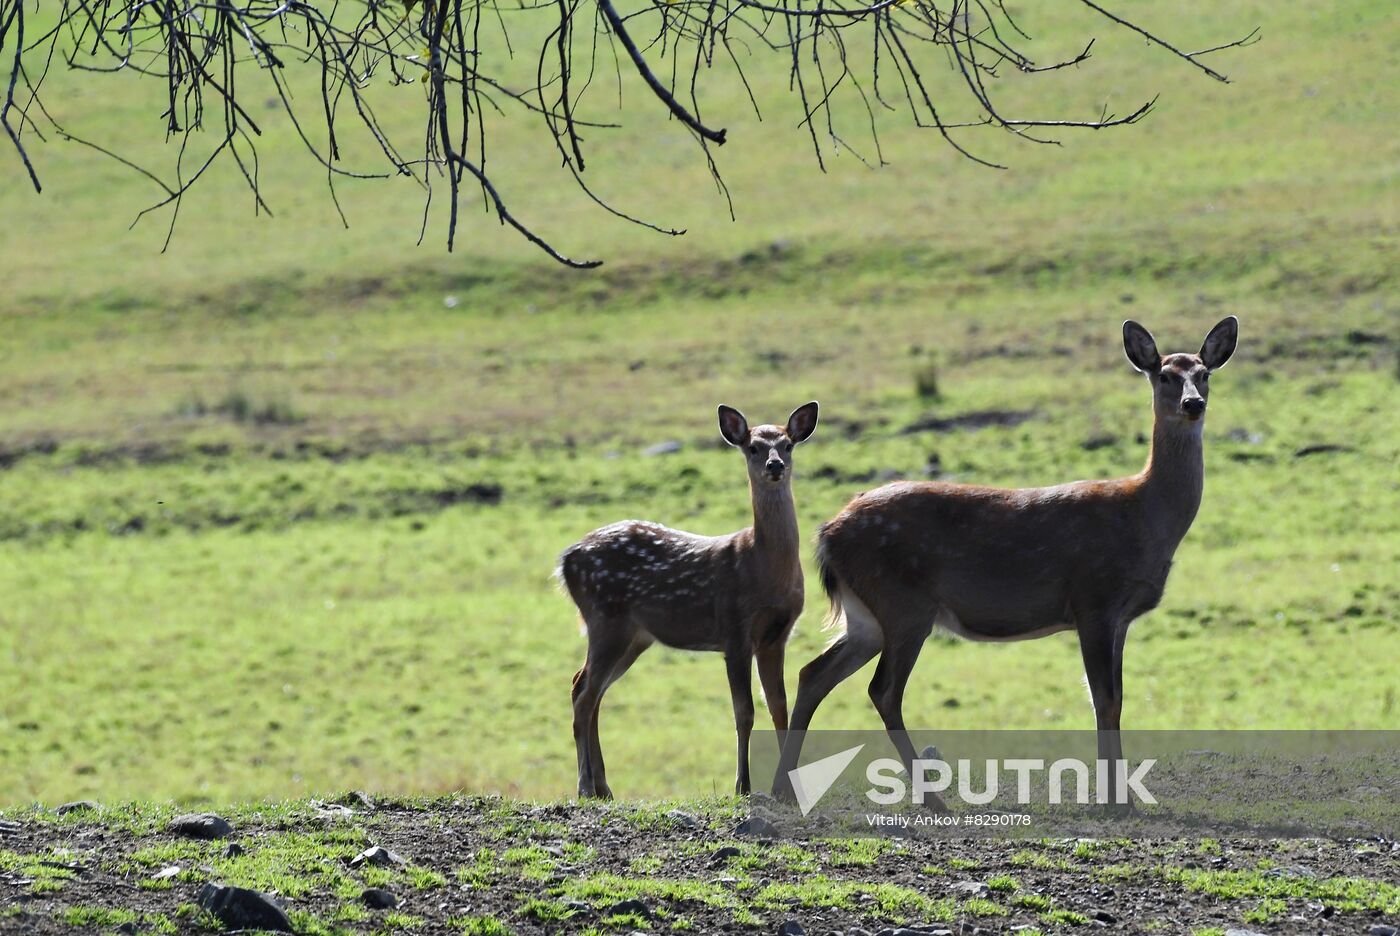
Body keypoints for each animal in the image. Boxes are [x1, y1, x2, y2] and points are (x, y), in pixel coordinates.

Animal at [557, 400, 817, 794]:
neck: (764, 566)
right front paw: (742, 785)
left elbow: (779, 706)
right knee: (585, 695)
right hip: (605, 618)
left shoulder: (777, 636)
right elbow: (744, 712)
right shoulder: (734, 630)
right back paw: (586, 786)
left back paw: (603, 787)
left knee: (585, 687)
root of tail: (566, 560)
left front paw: (786, 787)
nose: (775, 465)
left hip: (633, 636)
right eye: (753, 447)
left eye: (787, 444)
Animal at [772, 317, 1243, 805]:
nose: (1193, 403)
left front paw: (1120, 797)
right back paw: (934, 800)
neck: (1145, 518)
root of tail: (827, 533)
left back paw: (783, 789)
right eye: (1164, 375)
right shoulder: (1093, 598)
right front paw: (1115, 802)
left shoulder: (1120, 616)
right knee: (883, 691)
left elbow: (1115, 700)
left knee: (812, 674)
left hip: (866, 615)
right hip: (904, 603)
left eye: (1204, 373)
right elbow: (1104, 698)